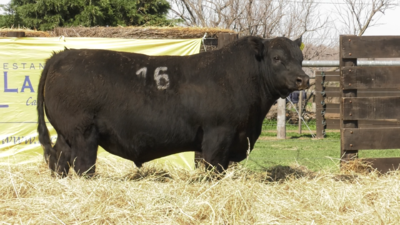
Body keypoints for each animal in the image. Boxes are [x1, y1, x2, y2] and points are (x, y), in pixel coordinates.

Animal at [36, 36, 310, 176]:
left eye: (300, 57)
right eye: (276, 57)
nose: (303, 79)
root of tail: (63, 55)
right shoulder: (218, 134)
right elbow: (213, 168)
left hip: (66, 134)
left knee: (58, 158)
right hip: (83, 133)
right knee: (83, 165)